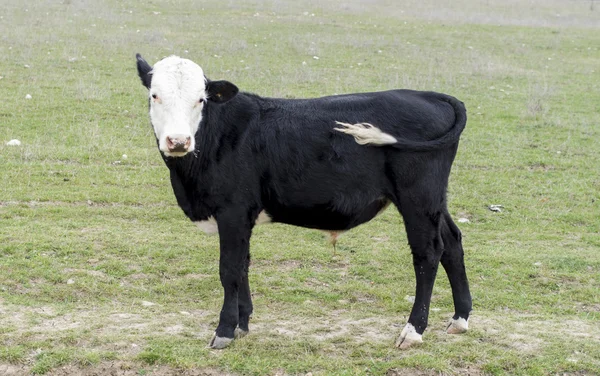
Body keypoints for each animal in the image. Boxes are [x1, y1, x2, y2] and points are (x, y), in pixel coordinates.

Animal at [136, 53, 474, 350]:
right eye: (155, 95)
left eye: (201, 99)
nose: (178, 141)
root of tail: (429, 96)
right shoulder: (242, 218)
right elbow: (244, 265)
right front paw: (243, 324)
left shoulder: (232, 211)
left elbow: (229, 269)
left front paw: (224, 331)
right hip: (434, 200)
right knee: (452, 242)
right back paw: (460, 319)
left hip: (418, 196)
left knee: (428, 253)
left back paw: (413, 331)